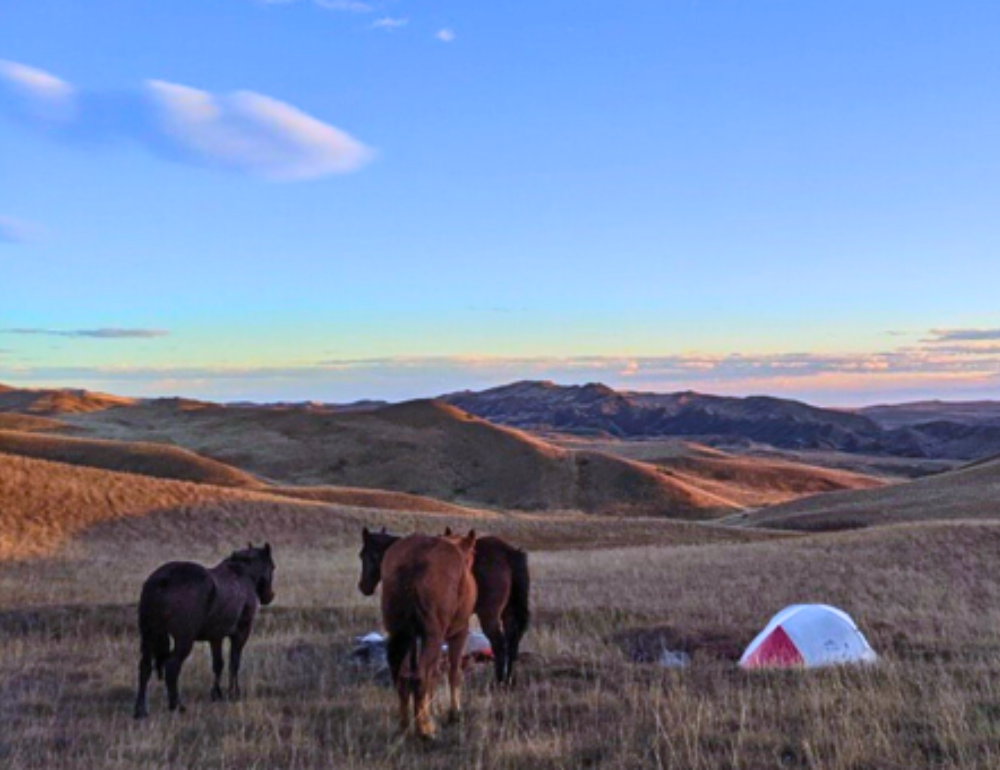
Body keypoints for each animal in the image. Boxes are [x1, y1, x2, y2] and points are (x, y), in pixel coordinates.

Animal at [132, 544, 278, 716]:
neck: (241, 575)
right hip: (183, 640)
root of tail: (163, 580)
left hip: (149, 636)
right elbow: (234, 662)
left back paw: (141, 710)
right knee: (172, 666)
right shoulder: (241, 633)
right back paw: (177, 705)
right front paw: (233, 693)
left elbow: (218, 664)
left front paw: (217, 694)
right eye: (272, 566)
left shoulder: (216, 637)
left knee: (145, 667)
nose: (269, 596)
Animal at [360, 528, 532, 684]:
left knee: (499, 645)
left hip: (489, 616)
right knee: (512, 642)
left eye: (363, 555)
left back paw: (499, 681)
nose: (363, 587)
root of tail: (508, 553)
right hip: (508, 613)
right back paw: (509, 680)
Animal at [366, 532, 478, 736]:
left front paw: (429, 710)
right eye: (474, 552)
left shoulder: (415, 639)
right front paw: (454, 713)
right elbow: (453, 673)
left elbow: (431, 675)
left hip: (402, 635)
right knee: (419, 678)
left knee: (402, 677)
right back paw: (425, 730)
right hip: (433, 636)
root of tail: (414, 560)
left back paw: (405, 725)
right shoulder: (458, 633)